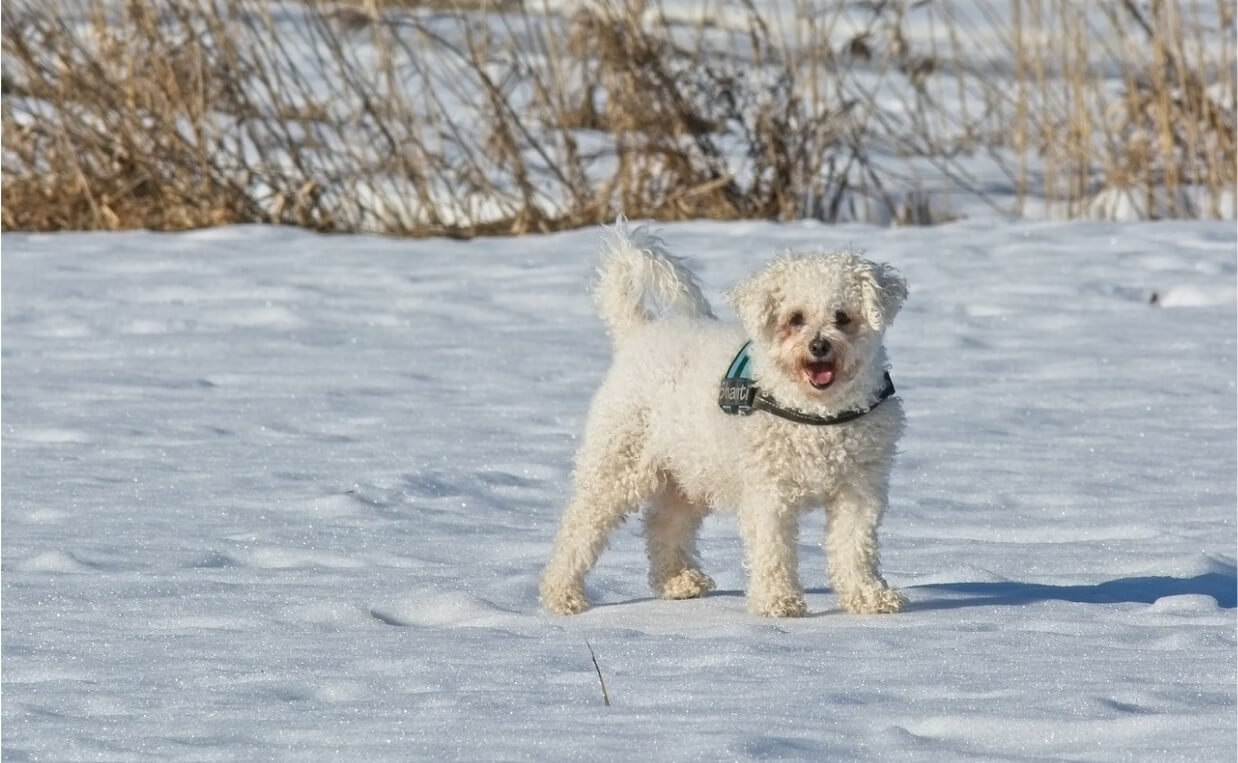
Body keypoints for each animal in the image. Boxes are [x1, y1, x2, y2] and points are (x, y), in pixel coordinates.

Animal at [542, 222, 911, 616]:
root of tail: (638, 333)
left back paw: (678, 581)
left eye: (842, 317)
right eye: (795, 318)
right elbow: (773, 549)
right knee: (579, 526)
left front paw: (868, 596)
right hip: (618, 464)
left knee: (663, 523)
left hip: (689, 471)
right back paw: (561, 593)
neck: (816, 414)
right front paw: (777, 601)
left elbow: (855, 548)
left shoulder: (859, 490)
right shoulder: (767, 492)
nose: (819, 346)